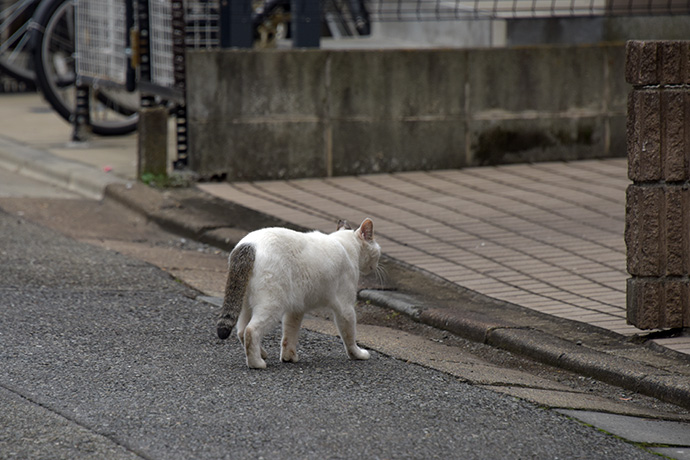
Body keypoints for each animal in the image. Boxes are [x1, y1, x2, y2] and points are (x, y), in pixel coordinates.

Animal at [218, 217, 378, 368]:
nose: (376, 266)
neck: (344, 244)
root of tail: (248, 245)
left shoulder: (296, 308)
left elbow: (290, 334)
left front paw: (288, 357)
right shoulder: (346, 308)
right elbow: (349, 335)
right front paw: (357, 354)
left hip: (245, 303)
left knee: (241, 330)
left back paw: (261, 353)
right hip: (272, 305)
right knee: (251, 330)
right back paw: (256, 363)